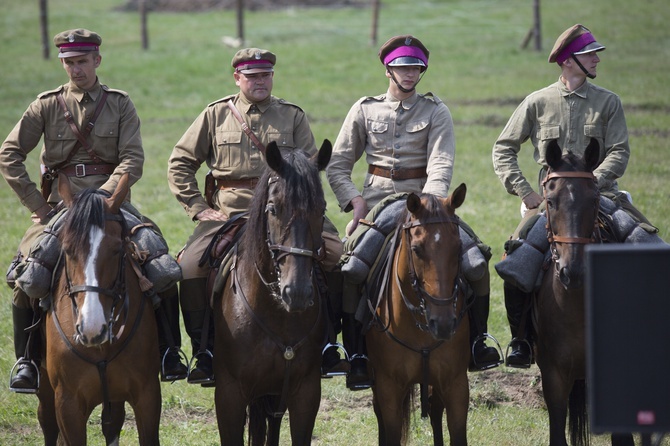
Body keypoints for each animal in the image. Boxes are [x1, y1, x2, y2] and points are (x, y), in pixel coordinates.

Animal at [37, 173, 162, 446]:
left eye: (116, 249)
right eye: (67, 249)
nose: (91, 328)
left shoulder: (147, 395)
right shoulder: (68, 404)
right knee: (48, 424)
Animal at [368, 183, 472, 444]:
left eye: (458, 247)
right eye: (416, 249)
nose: (443, 324)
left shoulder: (456, 385)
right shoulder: (389, 388)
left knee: (435, 412)